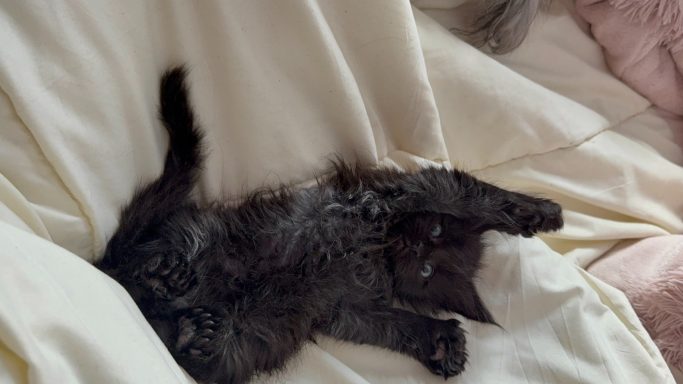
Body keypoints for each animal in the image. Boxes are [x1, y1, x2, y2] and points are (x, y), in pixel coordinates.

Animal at [97, 67, 568, 382]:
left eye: (428, 270)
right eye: (434, 233)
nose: (414, 247)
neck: (376, 250)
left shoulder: (348, 309)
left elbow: (392, 325)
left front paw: (438, 343)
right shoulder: (405, 189)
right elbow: (472, 196)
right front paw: (539, 212)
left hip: (248, 341)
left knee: (183, 348)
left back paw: (192, 330)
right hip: (201, 237)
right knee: (144, 271)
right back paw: (164, 277)